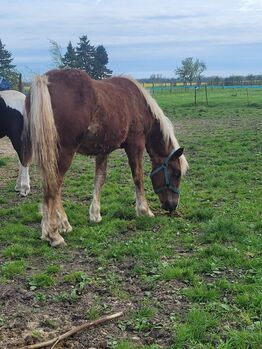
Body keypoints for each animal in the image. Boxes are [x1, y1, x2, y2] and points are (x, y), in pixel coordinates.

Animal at [24, 69, 188, 246]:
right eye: (176, 173)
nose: (173, 205)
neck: (139, 103)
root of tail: (44, 79)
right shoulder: (135, 144)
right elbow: (138, 177)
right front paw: (144, 210)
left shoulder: (103, 150)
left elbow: (100, 179)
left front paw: (95, 214)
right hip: (64, 153)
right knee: (53, 186)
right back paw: (54, 234)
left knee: (54, 188)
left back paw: (63, 225)